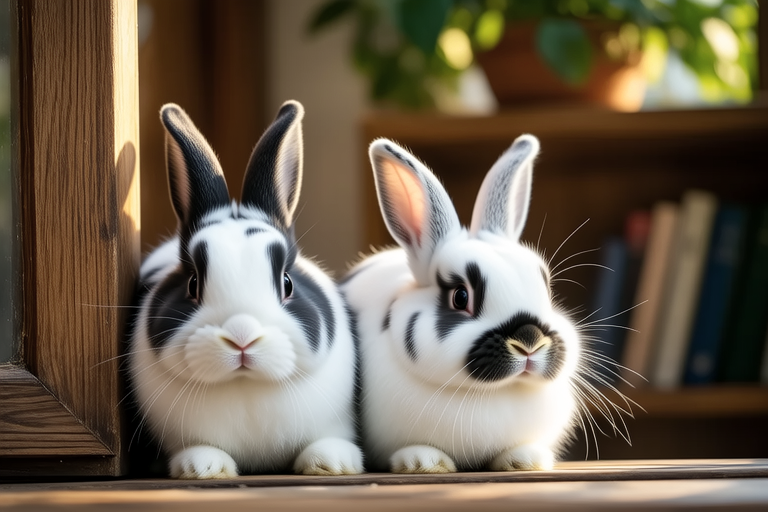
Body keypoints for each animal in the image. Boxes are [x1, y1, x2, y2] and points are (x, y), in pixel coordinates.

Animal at [127, 100, 363, 479]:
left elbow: (327, 440)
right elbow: (199, 449)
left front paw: (332, 463)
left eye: (287, 283)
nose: (242, 336)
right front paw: (202, 466)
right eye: (193, 284)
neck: (245, 387)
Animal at [341, 135, 583, 473]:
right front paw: (423, 461)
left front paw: (526, 460)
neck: (495, 393)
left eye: (546, 289)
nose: (529, 339)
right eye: (460, 297)